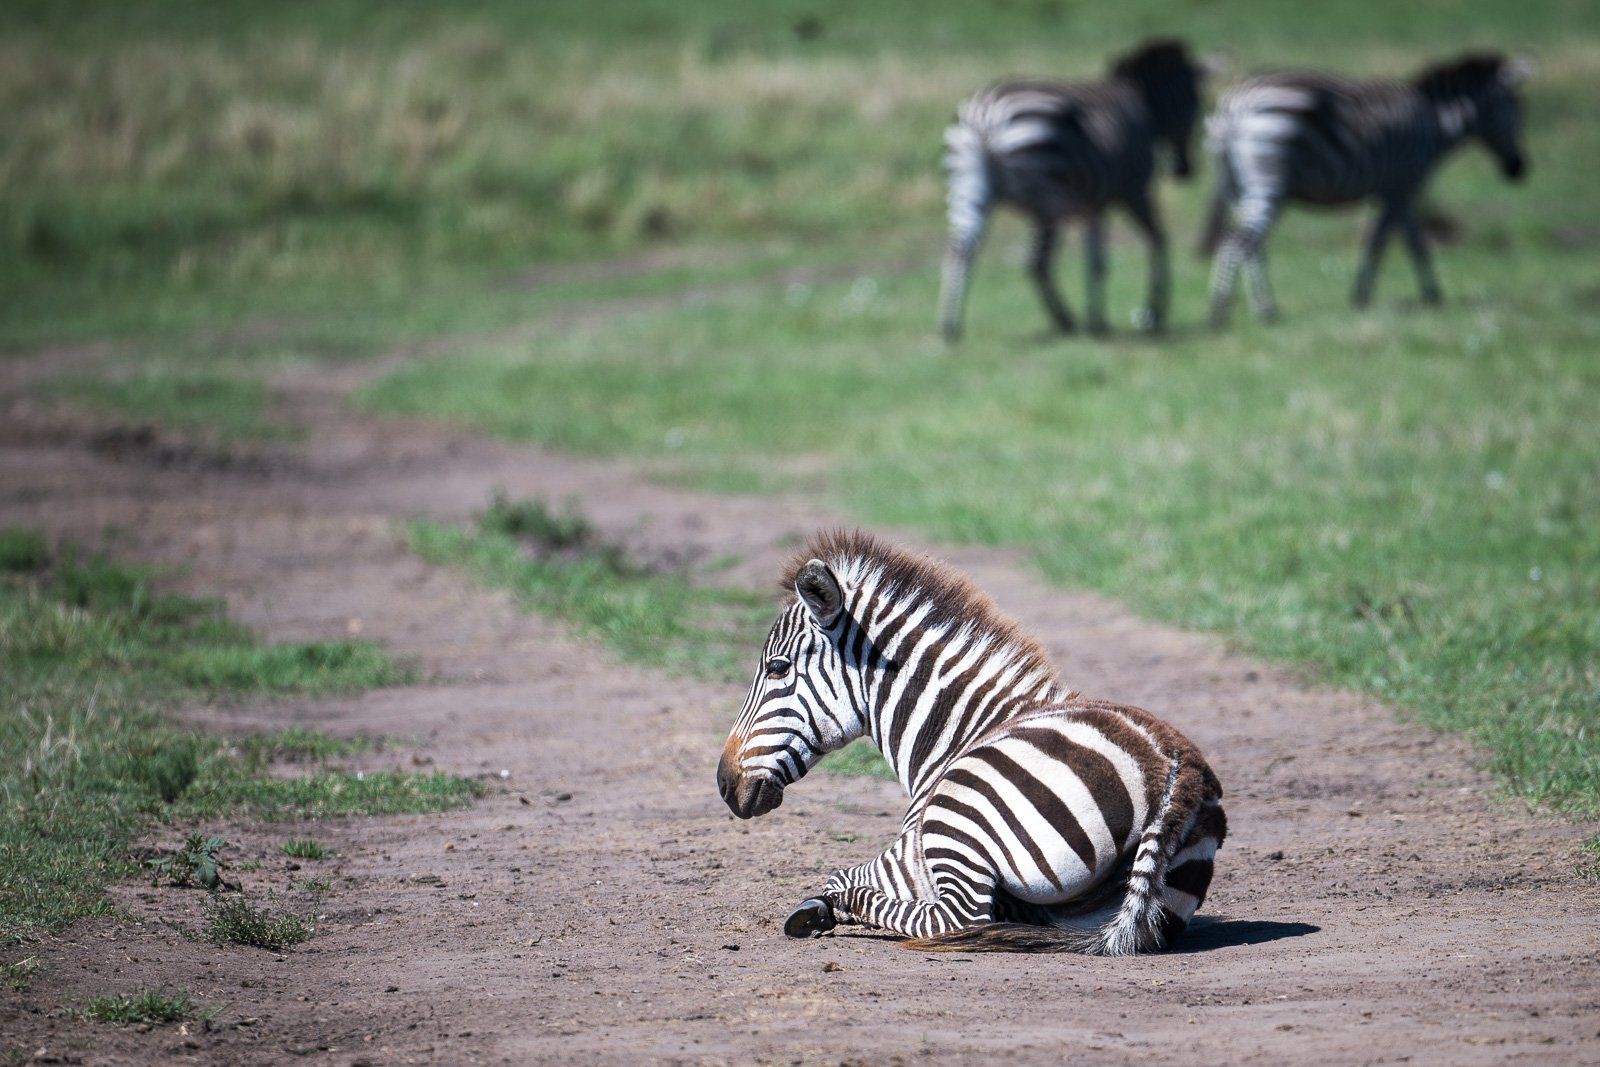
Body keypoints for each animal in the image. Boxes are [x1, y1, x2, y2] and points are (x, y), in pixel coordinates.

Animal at [716, 530, 1226, 954]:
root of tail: (1175, 770)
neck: (959, 730)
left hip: (957, 819)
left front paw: (819, 907)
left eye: (777, 668)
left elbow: (839, 874)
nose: (724, 783)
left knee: (953, 918)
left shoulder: (912, 851)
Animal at [937, 39, 1209, 342]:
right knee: (1036, 260)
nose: (1185, 170)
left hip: (969, 186)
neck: (1143, 105)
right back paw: (1065, 320)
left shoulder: (1093, 206)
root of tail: (986, 116)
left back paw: (951, 327)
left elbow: (1096, 260)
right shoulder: (1134, 190)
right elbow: (1156, 242)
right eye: (1195, 102)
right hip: (1045, 198)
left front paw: (1098, 320)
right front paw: (1152, 313)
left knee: (961, 249)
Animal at [1202, 51, 1533, 326]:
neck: (1435, 124)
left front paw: (1414, 295)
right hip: (1268, 182)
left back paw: (1262, 310)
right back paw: (1223, 314)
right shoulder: (1401, 187)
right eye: (1515, 109)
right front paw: (1407, 296)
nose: (1518, 169)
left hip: (1241, 190)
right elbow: (1395, 242)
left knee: (1252, 247)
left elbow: (1398, 239)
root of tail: (1235, 107)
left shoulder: (1392, 192)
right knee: (1237, 243)